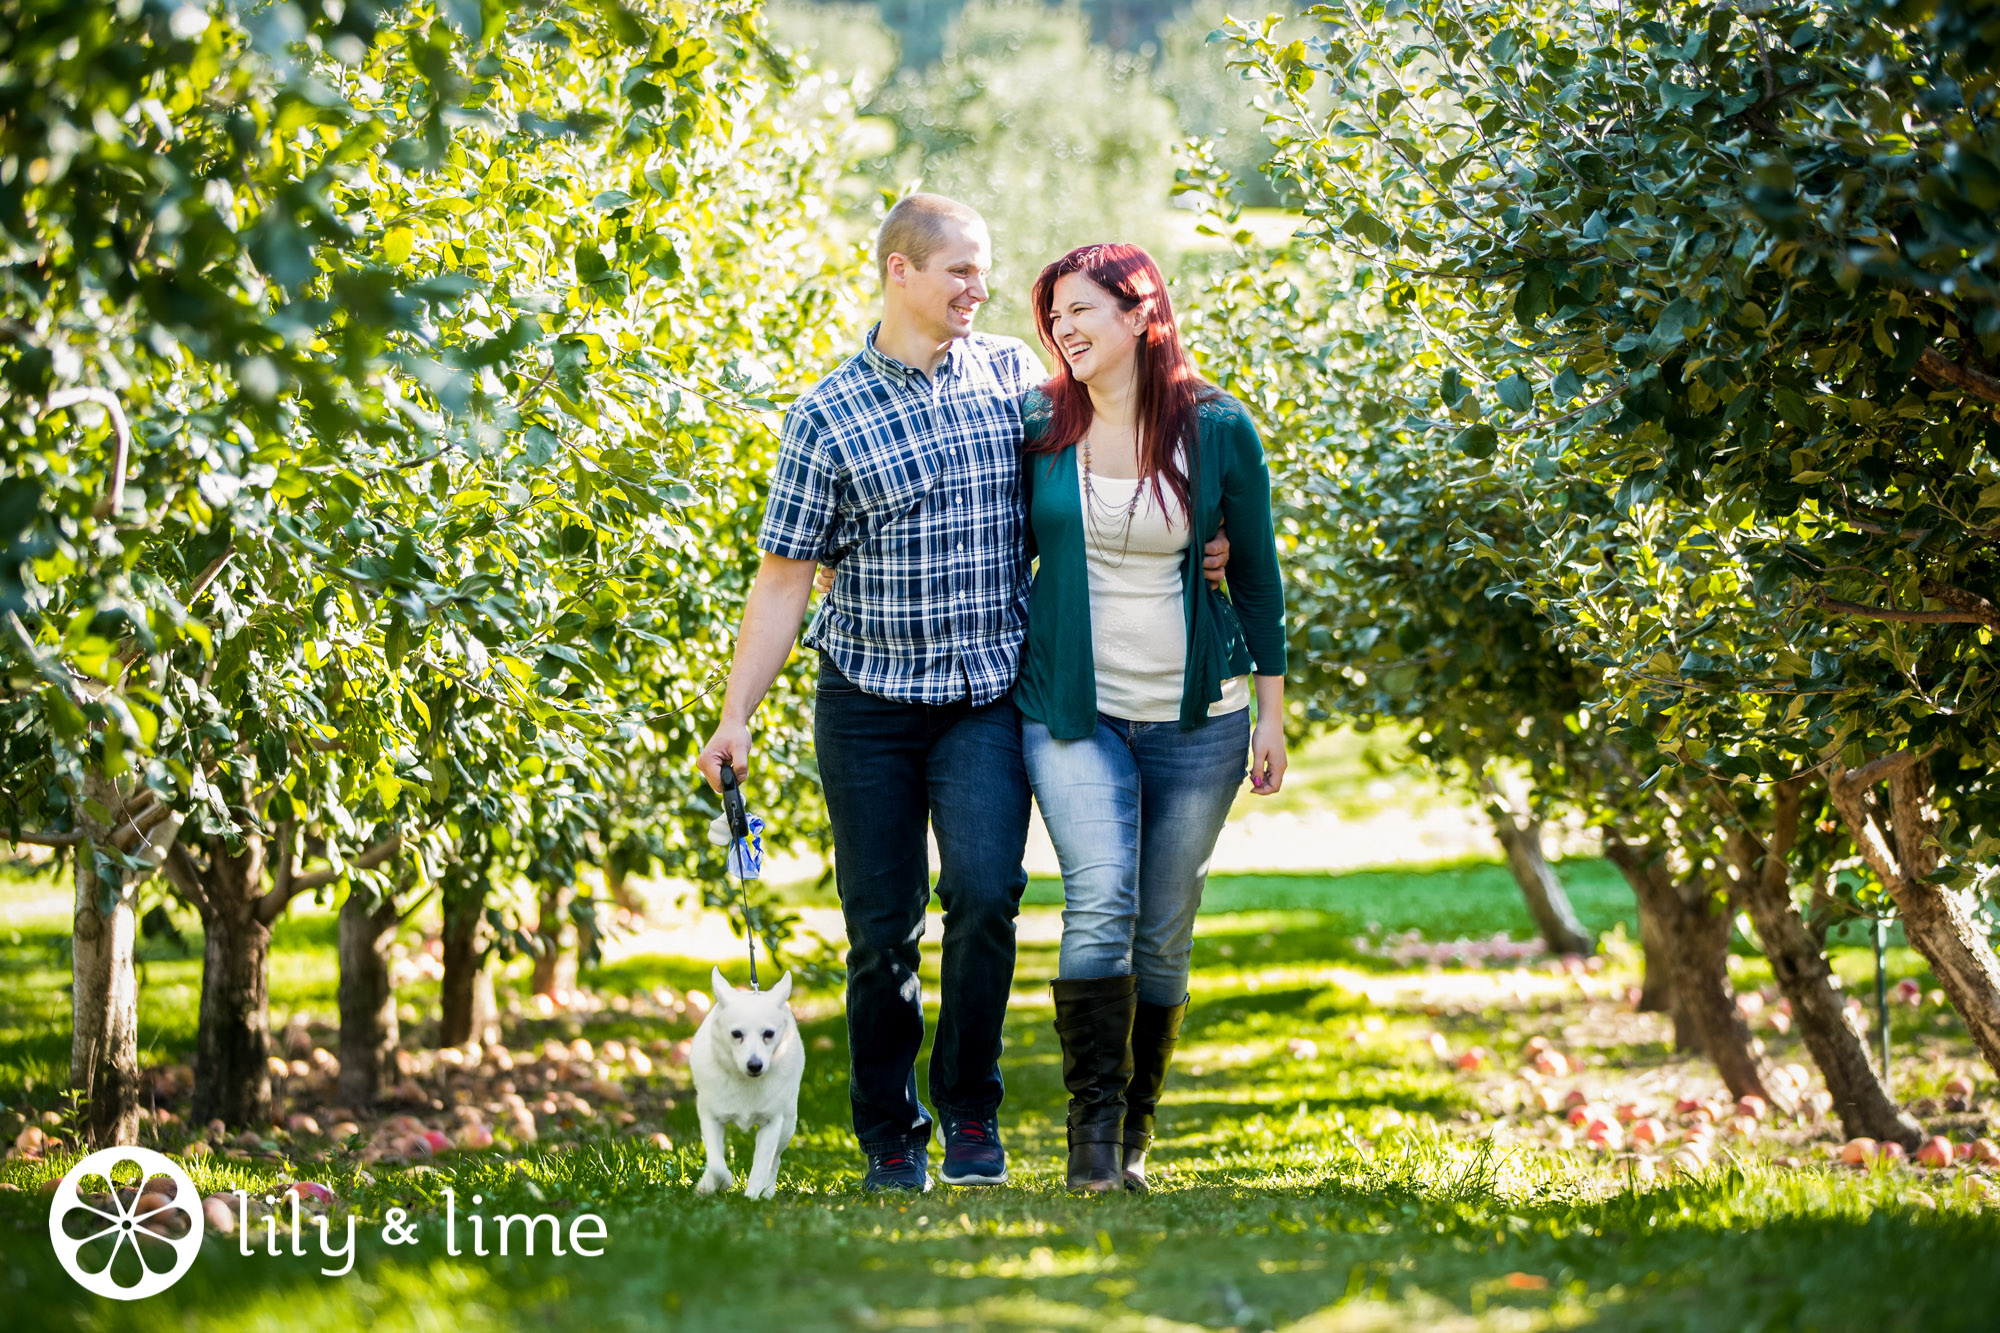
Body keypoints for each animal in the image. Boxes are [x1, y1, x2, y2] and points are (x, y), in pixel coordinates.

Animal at [692, 964, 800, 1192]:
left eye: (768, 1033)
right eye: (736, 1034)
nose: (755, 1065)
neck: (744, 1080)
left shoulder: (772, 1123)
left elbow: (761, 1167)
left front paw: (751, 1197)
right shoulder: (709, 1117)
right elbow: (716, 1163)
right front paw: (719, 1182)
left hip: (788, 1124)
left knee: (775, 1160)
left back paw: (767, 1192)